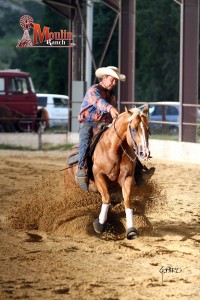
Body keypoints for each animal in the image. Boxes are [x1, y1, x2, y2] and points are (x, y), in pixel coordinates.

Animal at [64, 106, 150, 240]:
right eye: (133, 129)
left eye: (147, 129)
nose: (144, 152)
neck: (114, 148)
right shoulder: (99, 176)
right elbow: (106, 198)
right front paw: (99, 225)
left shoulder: (127, 177)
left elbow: (127, 200)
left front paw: (131, 229)